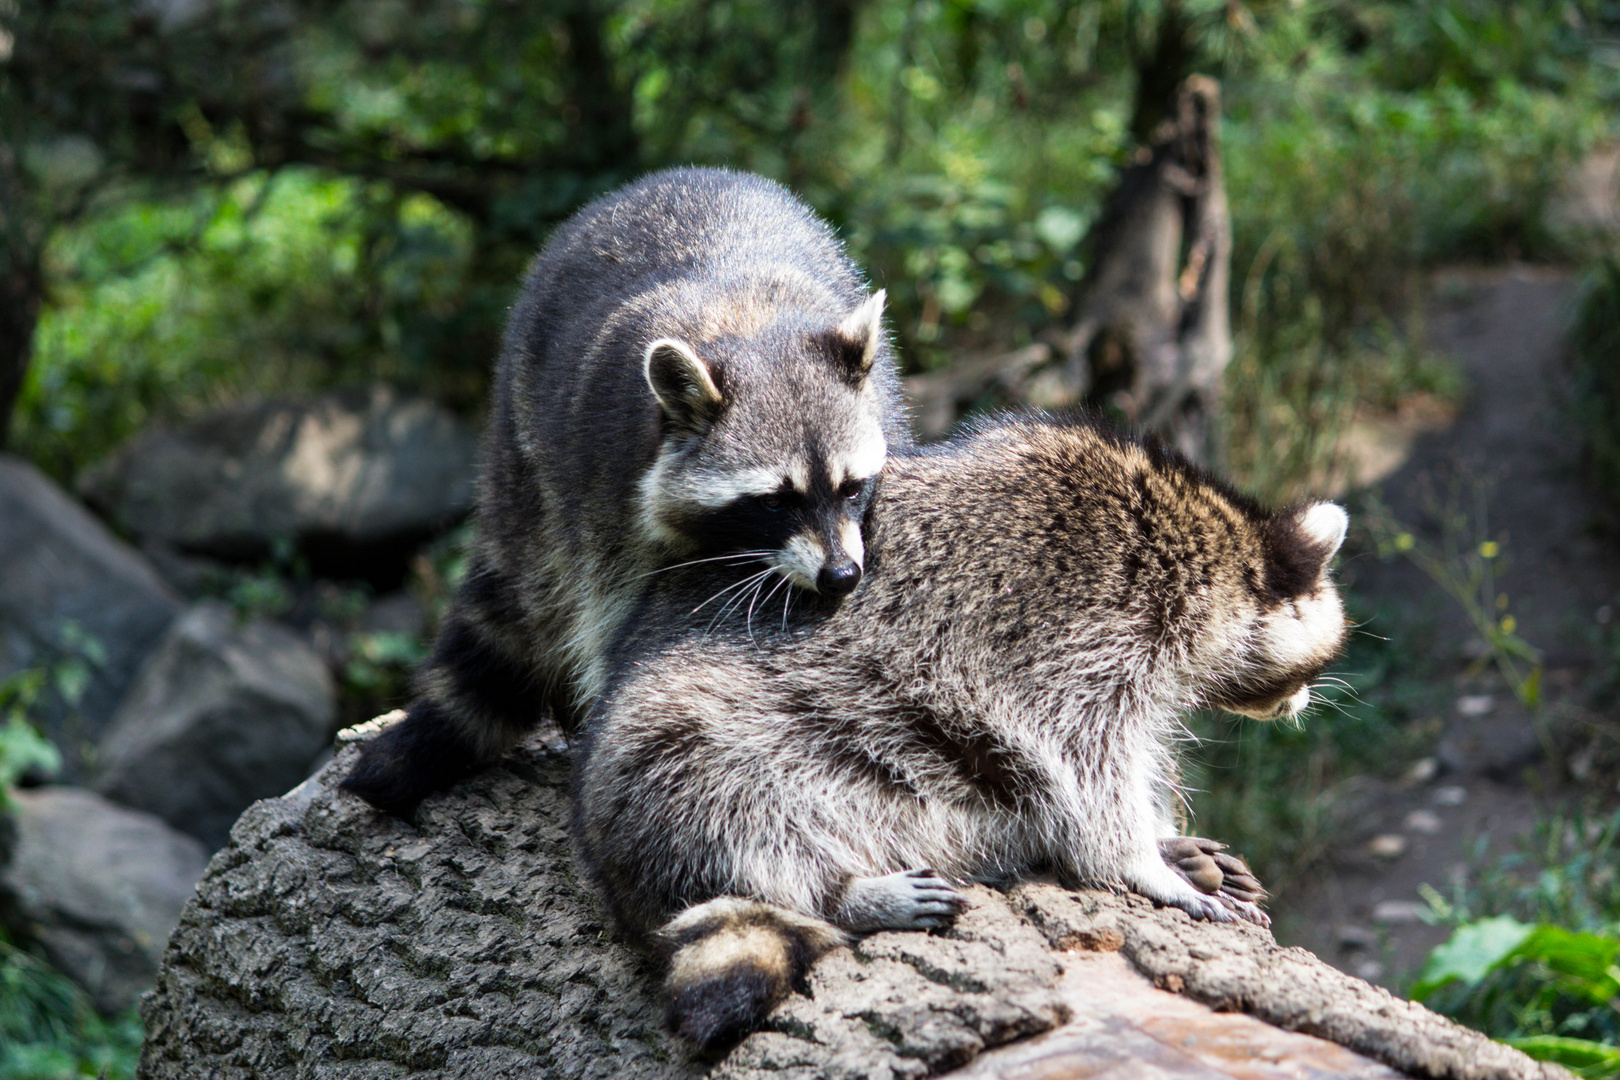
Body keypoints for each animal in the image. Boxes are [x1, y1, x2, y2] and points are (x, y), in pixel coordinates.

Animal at [341, 166, 913, 819]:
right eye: (774, 502)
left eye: (852, 489)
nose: (840, 575)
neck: (749, 328)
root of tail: (673, 176)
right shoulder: (604, 487)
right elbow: (609, 616)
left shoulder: (884, 405)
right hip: (525, 438)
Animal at [576, 411, 1347, 1049]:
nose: (1307, 701)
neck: (1205, 547)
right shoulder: (1080, 633)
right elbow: (1086, 768)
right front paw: (1141, 860)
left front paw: (1162, 837)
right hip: (688, 747)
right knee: (738, 810)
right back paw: (841, 892)